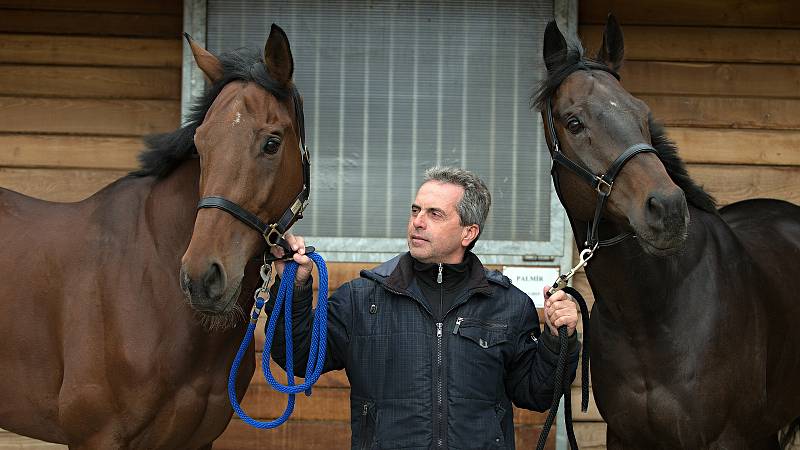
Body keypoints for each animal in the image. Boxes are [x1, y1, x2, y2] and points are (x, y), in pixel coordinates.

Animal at [536, 15, 800, 448]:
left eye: (643, 115)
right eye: (574, 123)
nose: (669, 210)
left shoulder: (727, 438)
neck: (649, 311)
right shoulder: (623, 437)